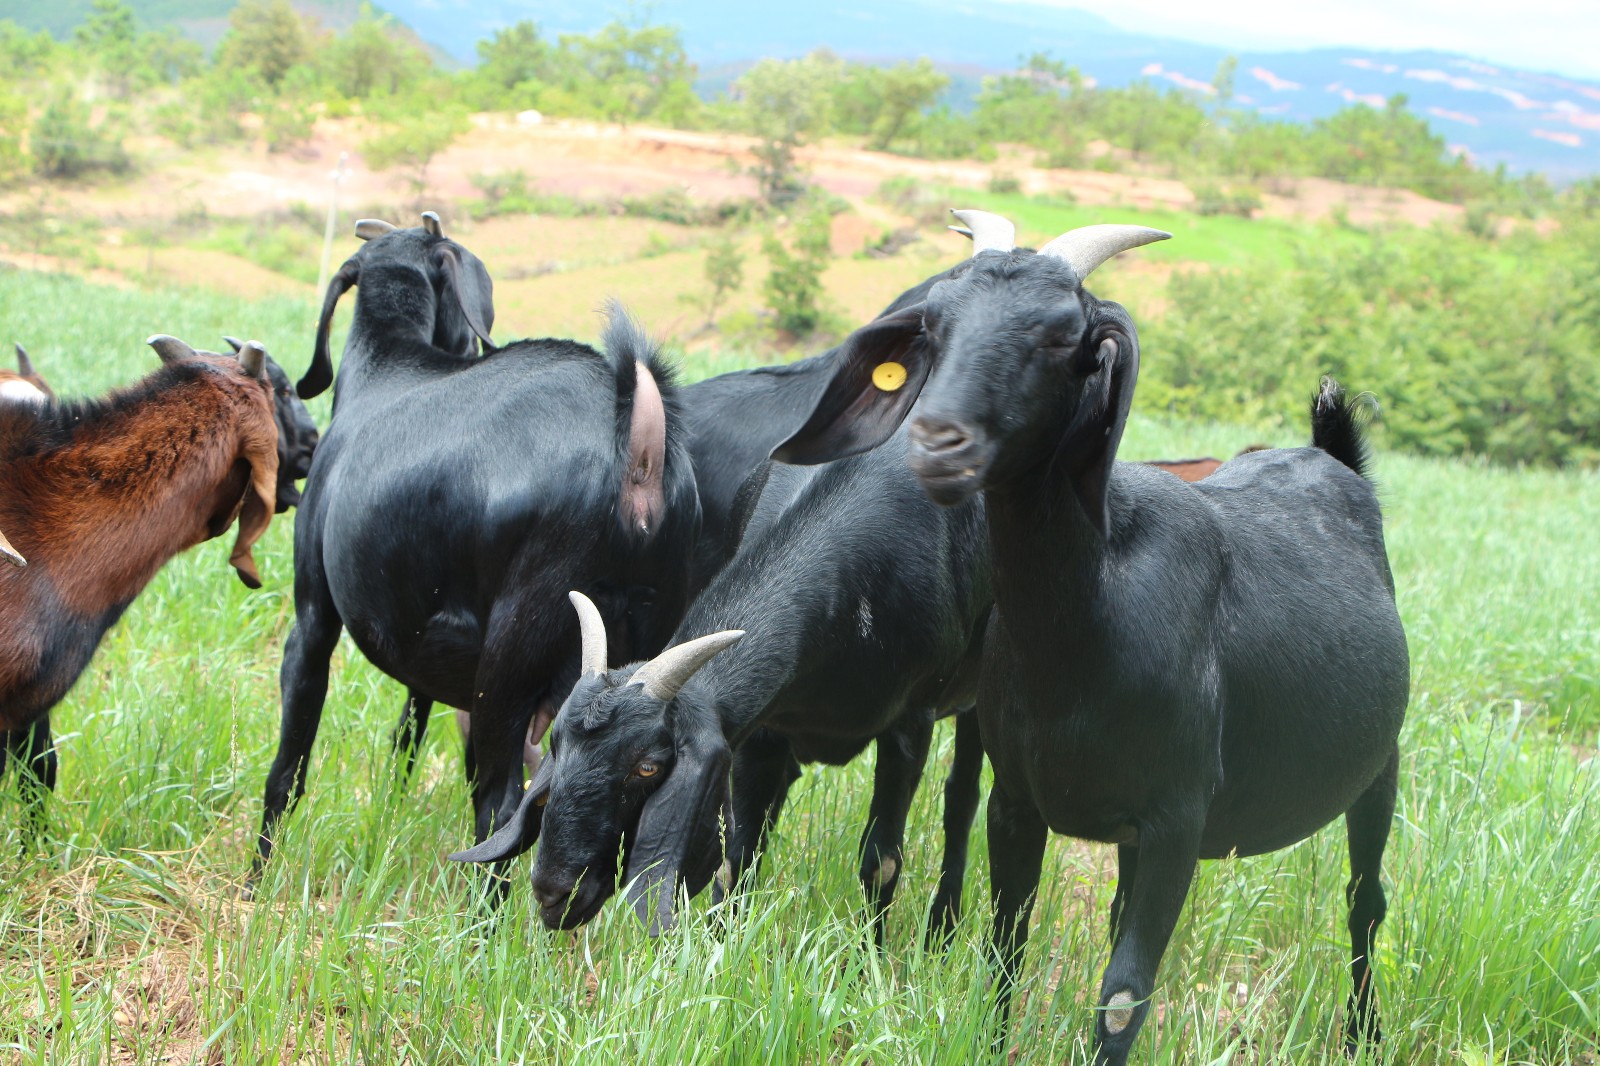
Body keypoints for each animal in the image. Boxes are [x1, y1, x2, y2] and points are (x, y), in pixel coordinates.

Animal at [252, 211, 697, 883]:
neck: (388, 362)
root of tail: (639, 447)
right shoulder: (422, 640)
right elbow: (406, 736)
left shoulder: (313, 617)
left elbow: (289, 765)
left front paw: (255, 879)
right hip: (642, 658)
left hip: (514, 653)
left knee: (500, 804)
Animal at [457, 422, 992, 941]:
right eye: (555, 742)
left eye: (648, 767)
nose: (552, 893)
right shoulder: (765, 727)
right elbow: (736, 858)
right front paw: (721, 949)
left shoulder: (912, 721)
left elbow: (881, 862)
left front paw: (870, 959)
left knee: (963, 799)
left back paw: (944, 928)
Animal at [774, 211, 1414, 1056]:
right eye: (935, 327)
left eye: (1059, 336)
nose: (937, 442)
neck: (1091, 628)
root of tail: (1331, 456)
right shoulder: (1020, 800)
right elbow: (1004, 947)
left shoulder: (1178, 819)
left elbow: (1122, 995)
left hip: (1380, 765)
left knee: (1365, 900)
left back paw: (1364, 1036)